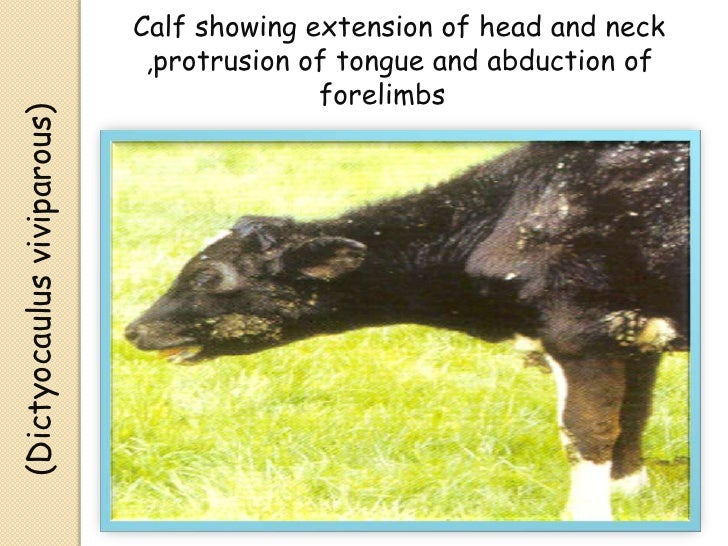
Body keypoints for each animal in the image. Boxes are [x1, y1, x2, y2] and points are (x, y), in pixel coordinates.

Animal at [125, 141, 690, 521]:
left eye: (207, 277)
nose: (133, 329)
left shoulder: (579, 331)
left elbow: (586, 430)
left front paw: (586, 514)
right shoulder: (635, 336)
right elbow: (631, 416)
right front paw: (630, 493)